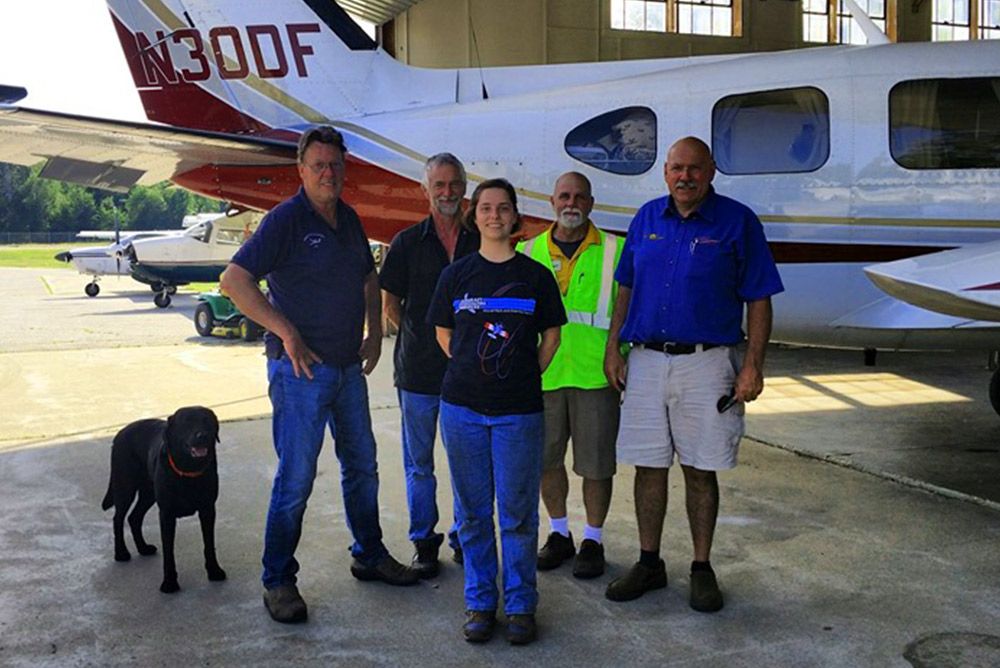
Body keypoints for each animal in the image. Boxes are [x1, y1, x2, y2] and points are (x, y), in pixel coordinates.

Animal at [102, 404, 227, 592]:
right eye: (186, 422)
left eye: (207, 421)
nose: (202, 436)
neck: (189, 471)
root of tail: (120, 432)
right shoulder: (167, 514)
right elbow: (169, 551)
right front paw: (169, 582)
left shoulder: (208, 509)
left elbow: (209, 544)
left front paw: (214, 571)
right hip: (125, 487)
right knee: (118, 518)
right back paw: (121, 553)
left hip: (149, 493)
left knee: (134, 517)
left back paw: (143, 548)